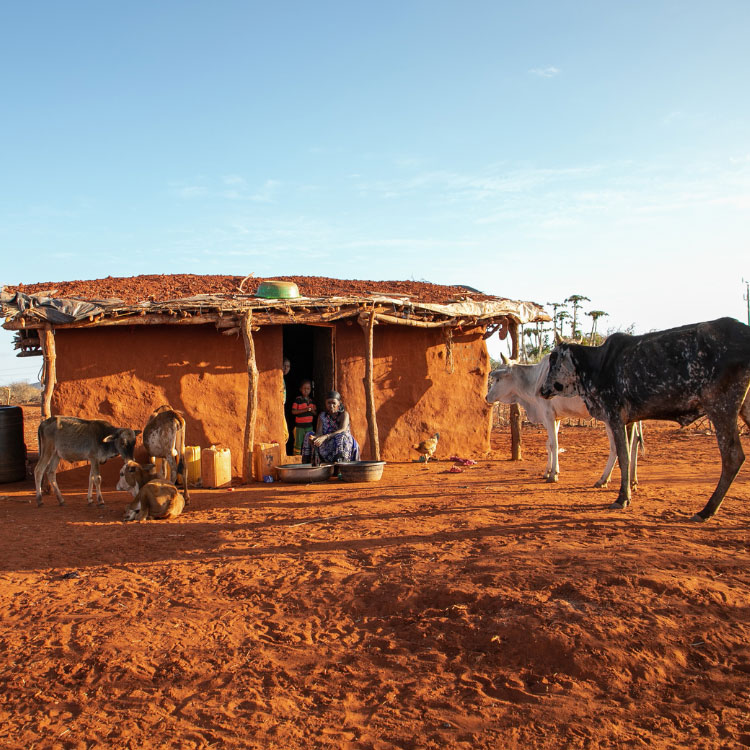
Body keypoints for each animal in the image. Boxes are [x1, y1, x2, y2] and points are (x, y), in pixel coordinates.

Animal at [540, 318, 750, 524]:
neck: (596, 364)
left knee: (733, 457)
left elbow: (623, 456)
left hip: (720, 407)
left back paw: (706, 511)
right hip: (742, 408)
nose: (542, 390)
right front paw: (628, 492)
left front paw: (622, 498)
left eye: (553, 359)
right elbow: (628, 455)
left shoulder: (615, 417)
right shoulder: (629, 421)